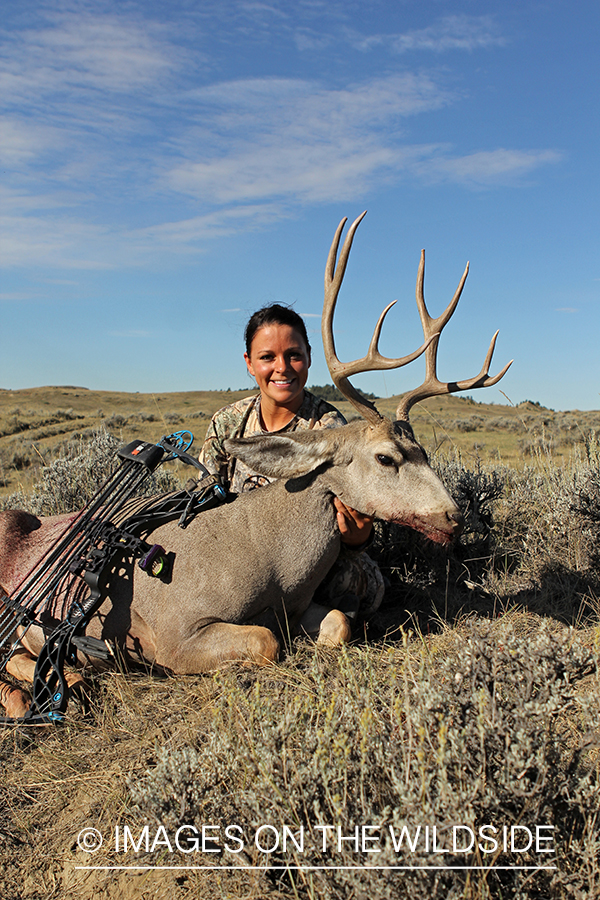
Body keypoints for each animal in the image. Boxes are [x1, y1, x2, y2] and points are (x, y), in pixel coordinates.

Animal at [0, 212, 511, 717]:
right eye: (385, 457)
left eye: (424, 451)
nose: (453, 516)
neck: (269, 564)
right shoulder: (173, 632)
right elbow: (266, 642)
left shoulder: (299, 607)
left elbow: (339, 623)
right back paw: (56, 686)